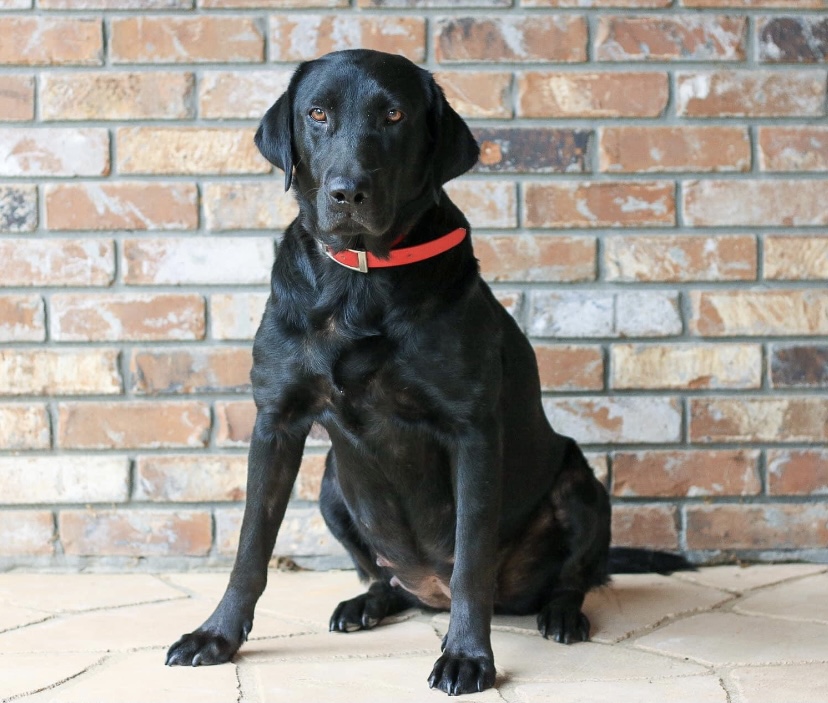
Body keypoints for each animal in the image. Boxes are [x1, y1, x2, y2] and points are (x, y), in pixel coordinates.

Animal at [165, 51, 688, 700]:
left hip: (580, 481)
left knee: (571, 574)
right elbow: (249, 549)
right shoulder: (276, 421)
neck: (359, 278)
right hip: (333, 485)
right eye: (317, 113)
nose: (348, 192)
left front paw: (467, 656)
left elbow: (471, 562)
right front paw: (216, 635)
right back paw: (367, 603)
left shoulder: (472, 433)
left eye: (394, 115)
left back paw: (561, 613)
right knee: (384, 577)